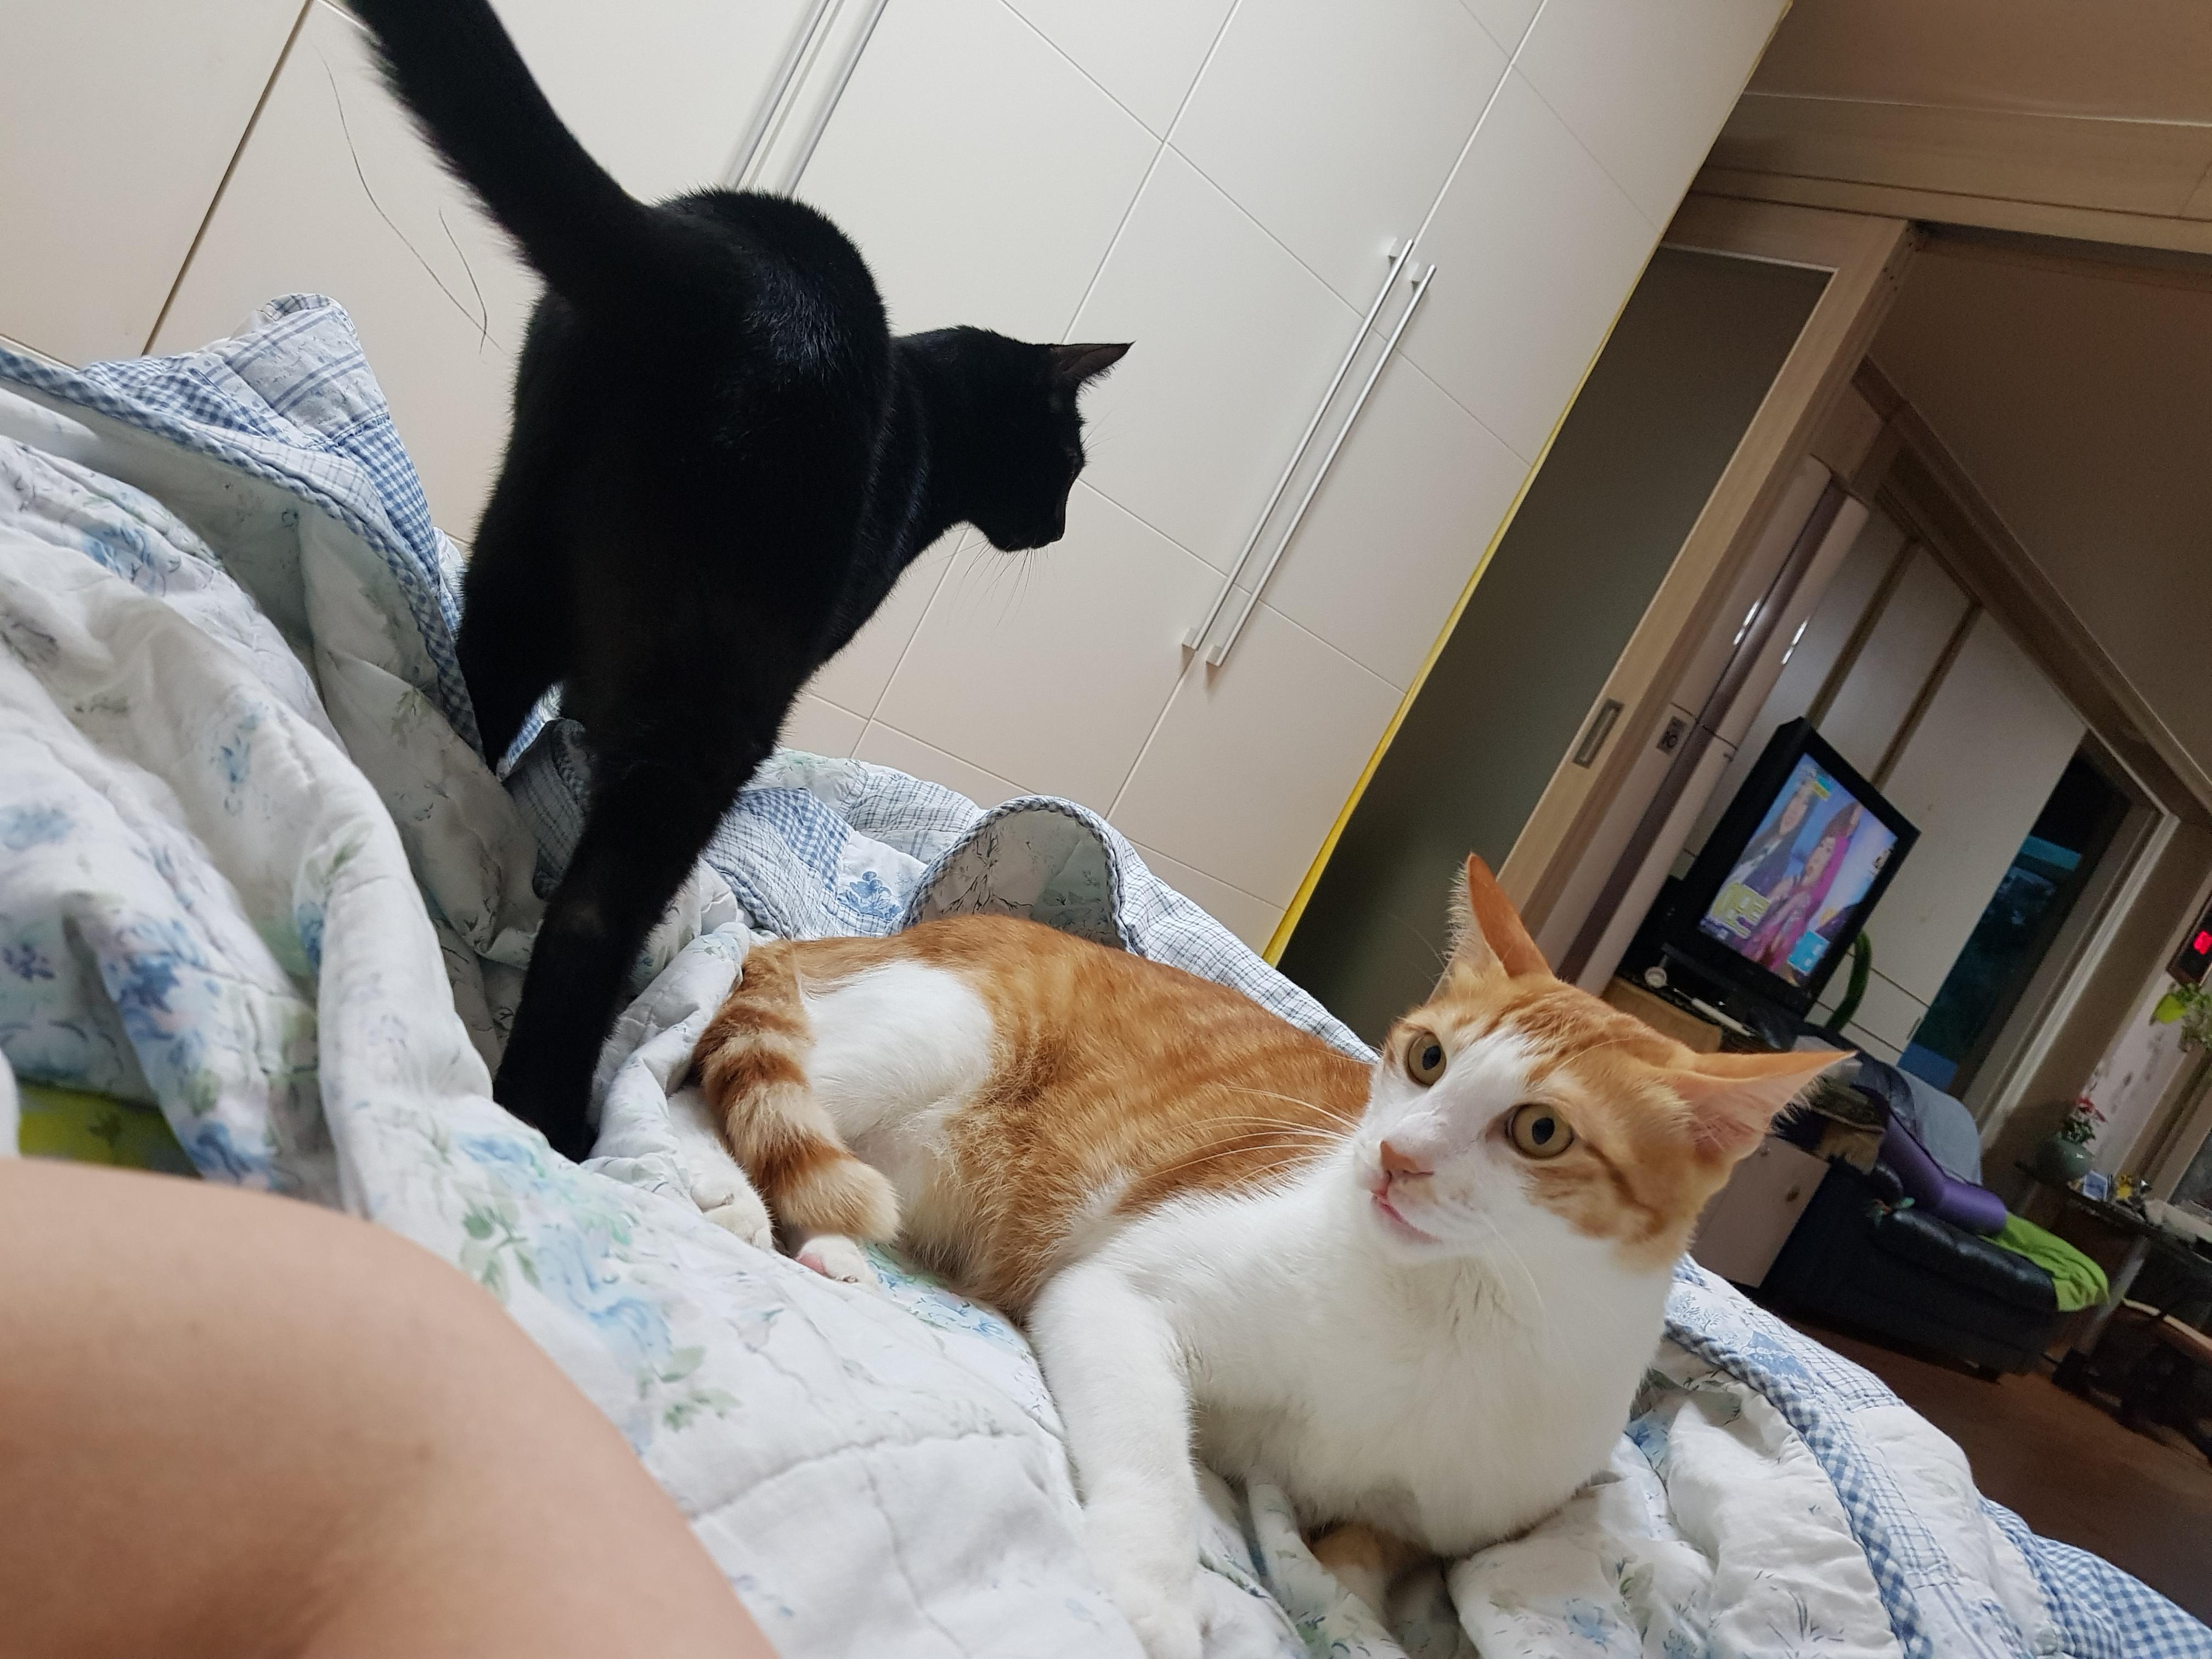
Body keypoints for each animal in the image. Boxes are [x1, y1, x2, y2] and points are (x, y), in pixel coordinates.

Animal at [350, 0, 1128, 1159]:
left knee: (463, 714)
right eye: (1069, 461)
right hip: (714, 698)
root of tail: (717, 265)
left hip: (517, 566)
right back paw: (552, 1114)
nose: (1063, 526)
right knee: (594, 909)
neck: (927, 408)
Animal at [692, 854, 1844, 1657]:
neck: (1446, 1310)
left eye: (1540, 1130)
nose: (1395, 1154)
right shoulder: (1116, 1295)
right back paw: (725, 1190)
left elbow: (1359, 1560)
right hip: (929, 1036)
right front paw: (1147, 1595)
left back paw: (835, 1250)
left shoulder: (1437, 1522)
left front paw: (1326, 1584)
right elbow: (1157, 1457)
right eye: (1427, 1056)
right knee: (704, 1066)